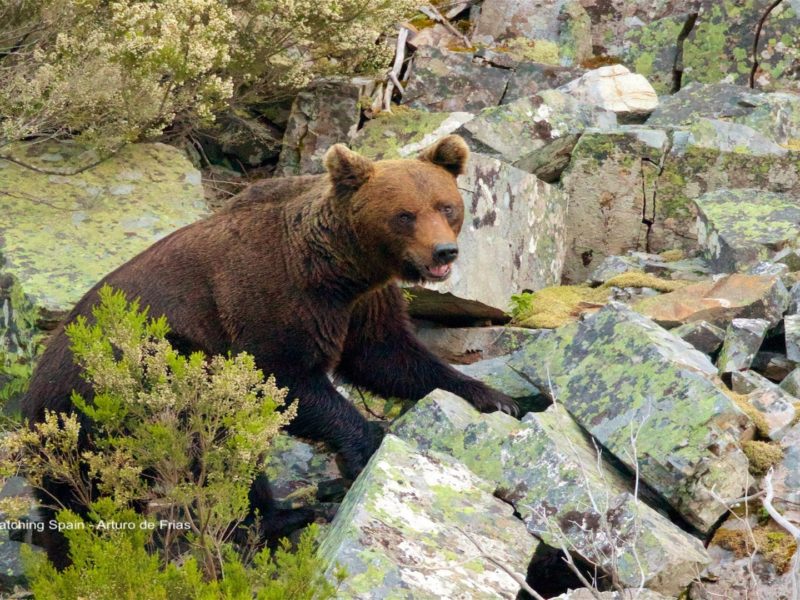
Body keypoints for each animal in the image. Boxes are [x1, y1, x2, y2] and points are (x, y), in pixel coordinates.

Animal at [22, 135, 517, 547]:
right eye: (404, 215)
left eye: (446, 206)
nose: (443, 252)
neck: (338, 271)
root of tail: (30, 401)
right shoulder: (270, 302)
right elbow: (285, 383)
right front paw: (363, 446)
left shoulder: (363, 306)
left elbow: (388, 358)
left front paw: (494, 397)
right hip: (132, 376)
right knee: (199, 435)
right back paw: (276, 517)